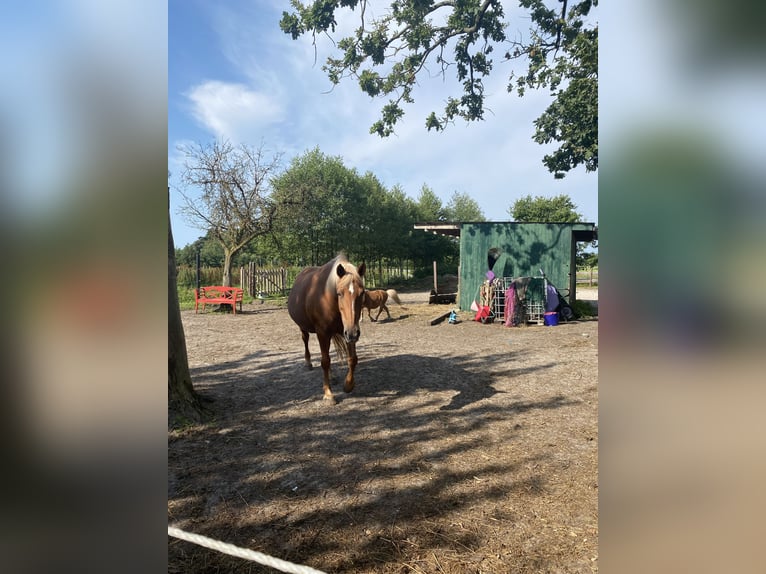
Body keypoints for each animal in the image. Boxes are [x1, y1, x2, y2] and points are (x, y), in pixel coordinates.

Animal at [287, 255, 366, 402]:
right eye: (339, 293)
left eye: (362, 293)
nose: (354, 333)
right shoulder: (323, 333)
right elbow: (325, 361)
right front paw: (328, 394)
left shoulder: (347, 332)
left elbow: (352, 359)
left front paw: (348, 385)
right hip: (304, 328)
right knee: (306, 340)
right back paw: (308, 363)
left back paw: (332, 376)